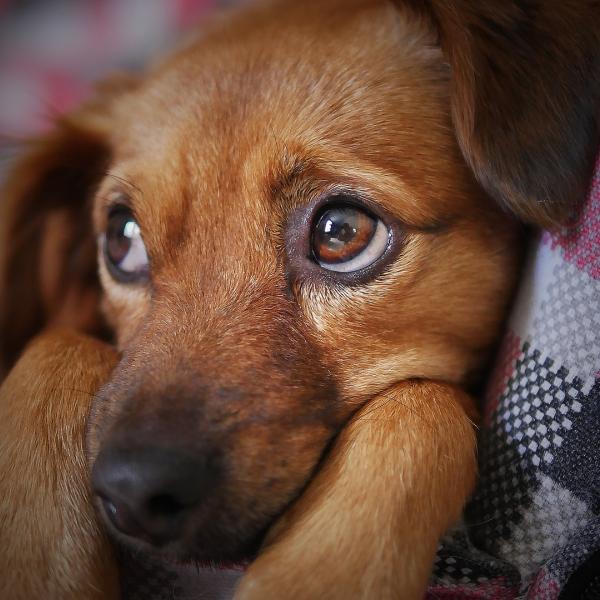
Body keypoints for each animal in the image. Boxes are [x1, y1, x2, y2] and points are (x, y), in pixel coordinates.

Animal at [1, 0, 600, 596]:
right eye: (122, 239)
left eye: (340, 232)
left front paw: (316, 570)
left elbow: (421, 402)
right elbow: (57, 342)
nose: (132, 493)